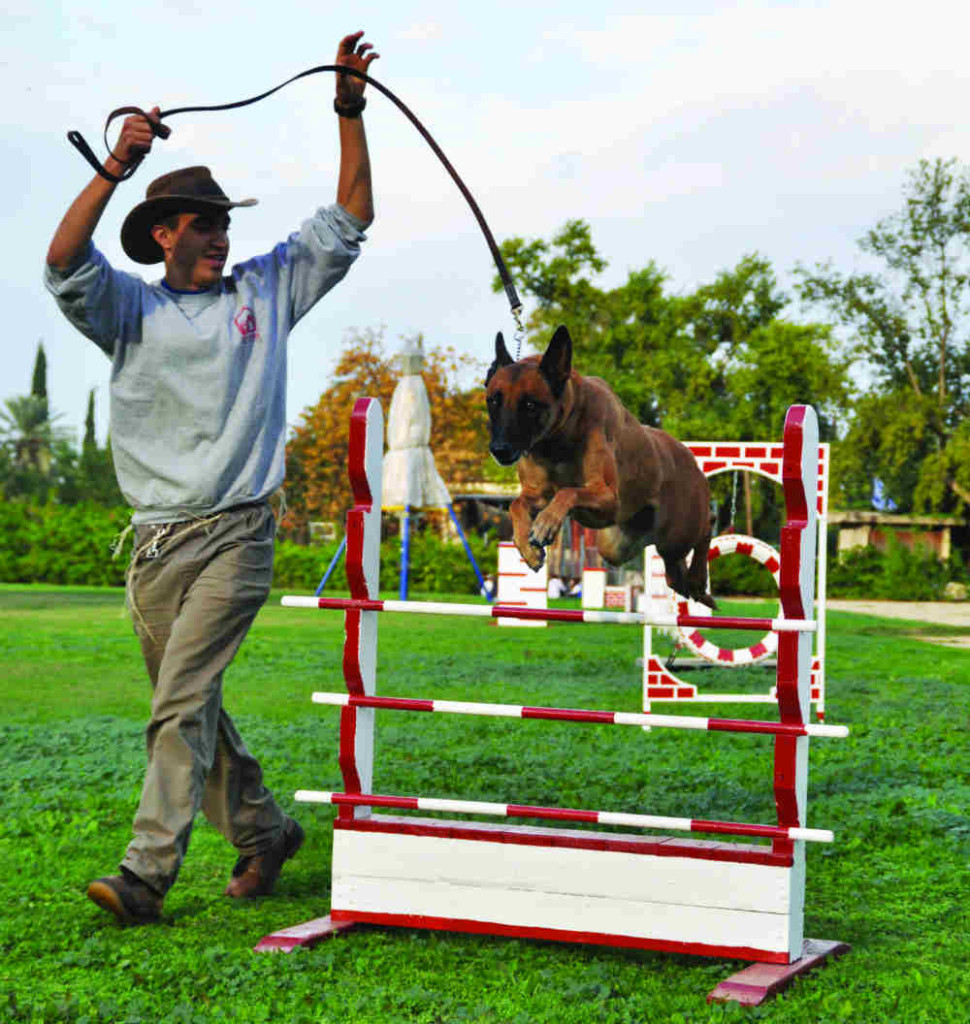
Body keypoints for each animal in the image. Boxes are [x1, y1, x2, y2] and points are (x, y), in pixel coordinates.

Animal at [483, 323, 712, 602]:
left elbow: (568, 492)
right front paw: (527, 547)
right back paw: (689, 584)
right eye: (493, 400)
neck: (559, 437)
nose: (499, 449)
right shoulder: (537, 494)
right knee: (672, 568)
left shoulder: (609, 497)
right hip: (617, 546)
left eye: (529, 404)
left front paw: (545, 524)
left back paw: (698, 578)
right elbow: (516, 504)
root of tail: (690, 456)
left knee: (707, 528)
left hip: (681, 530)